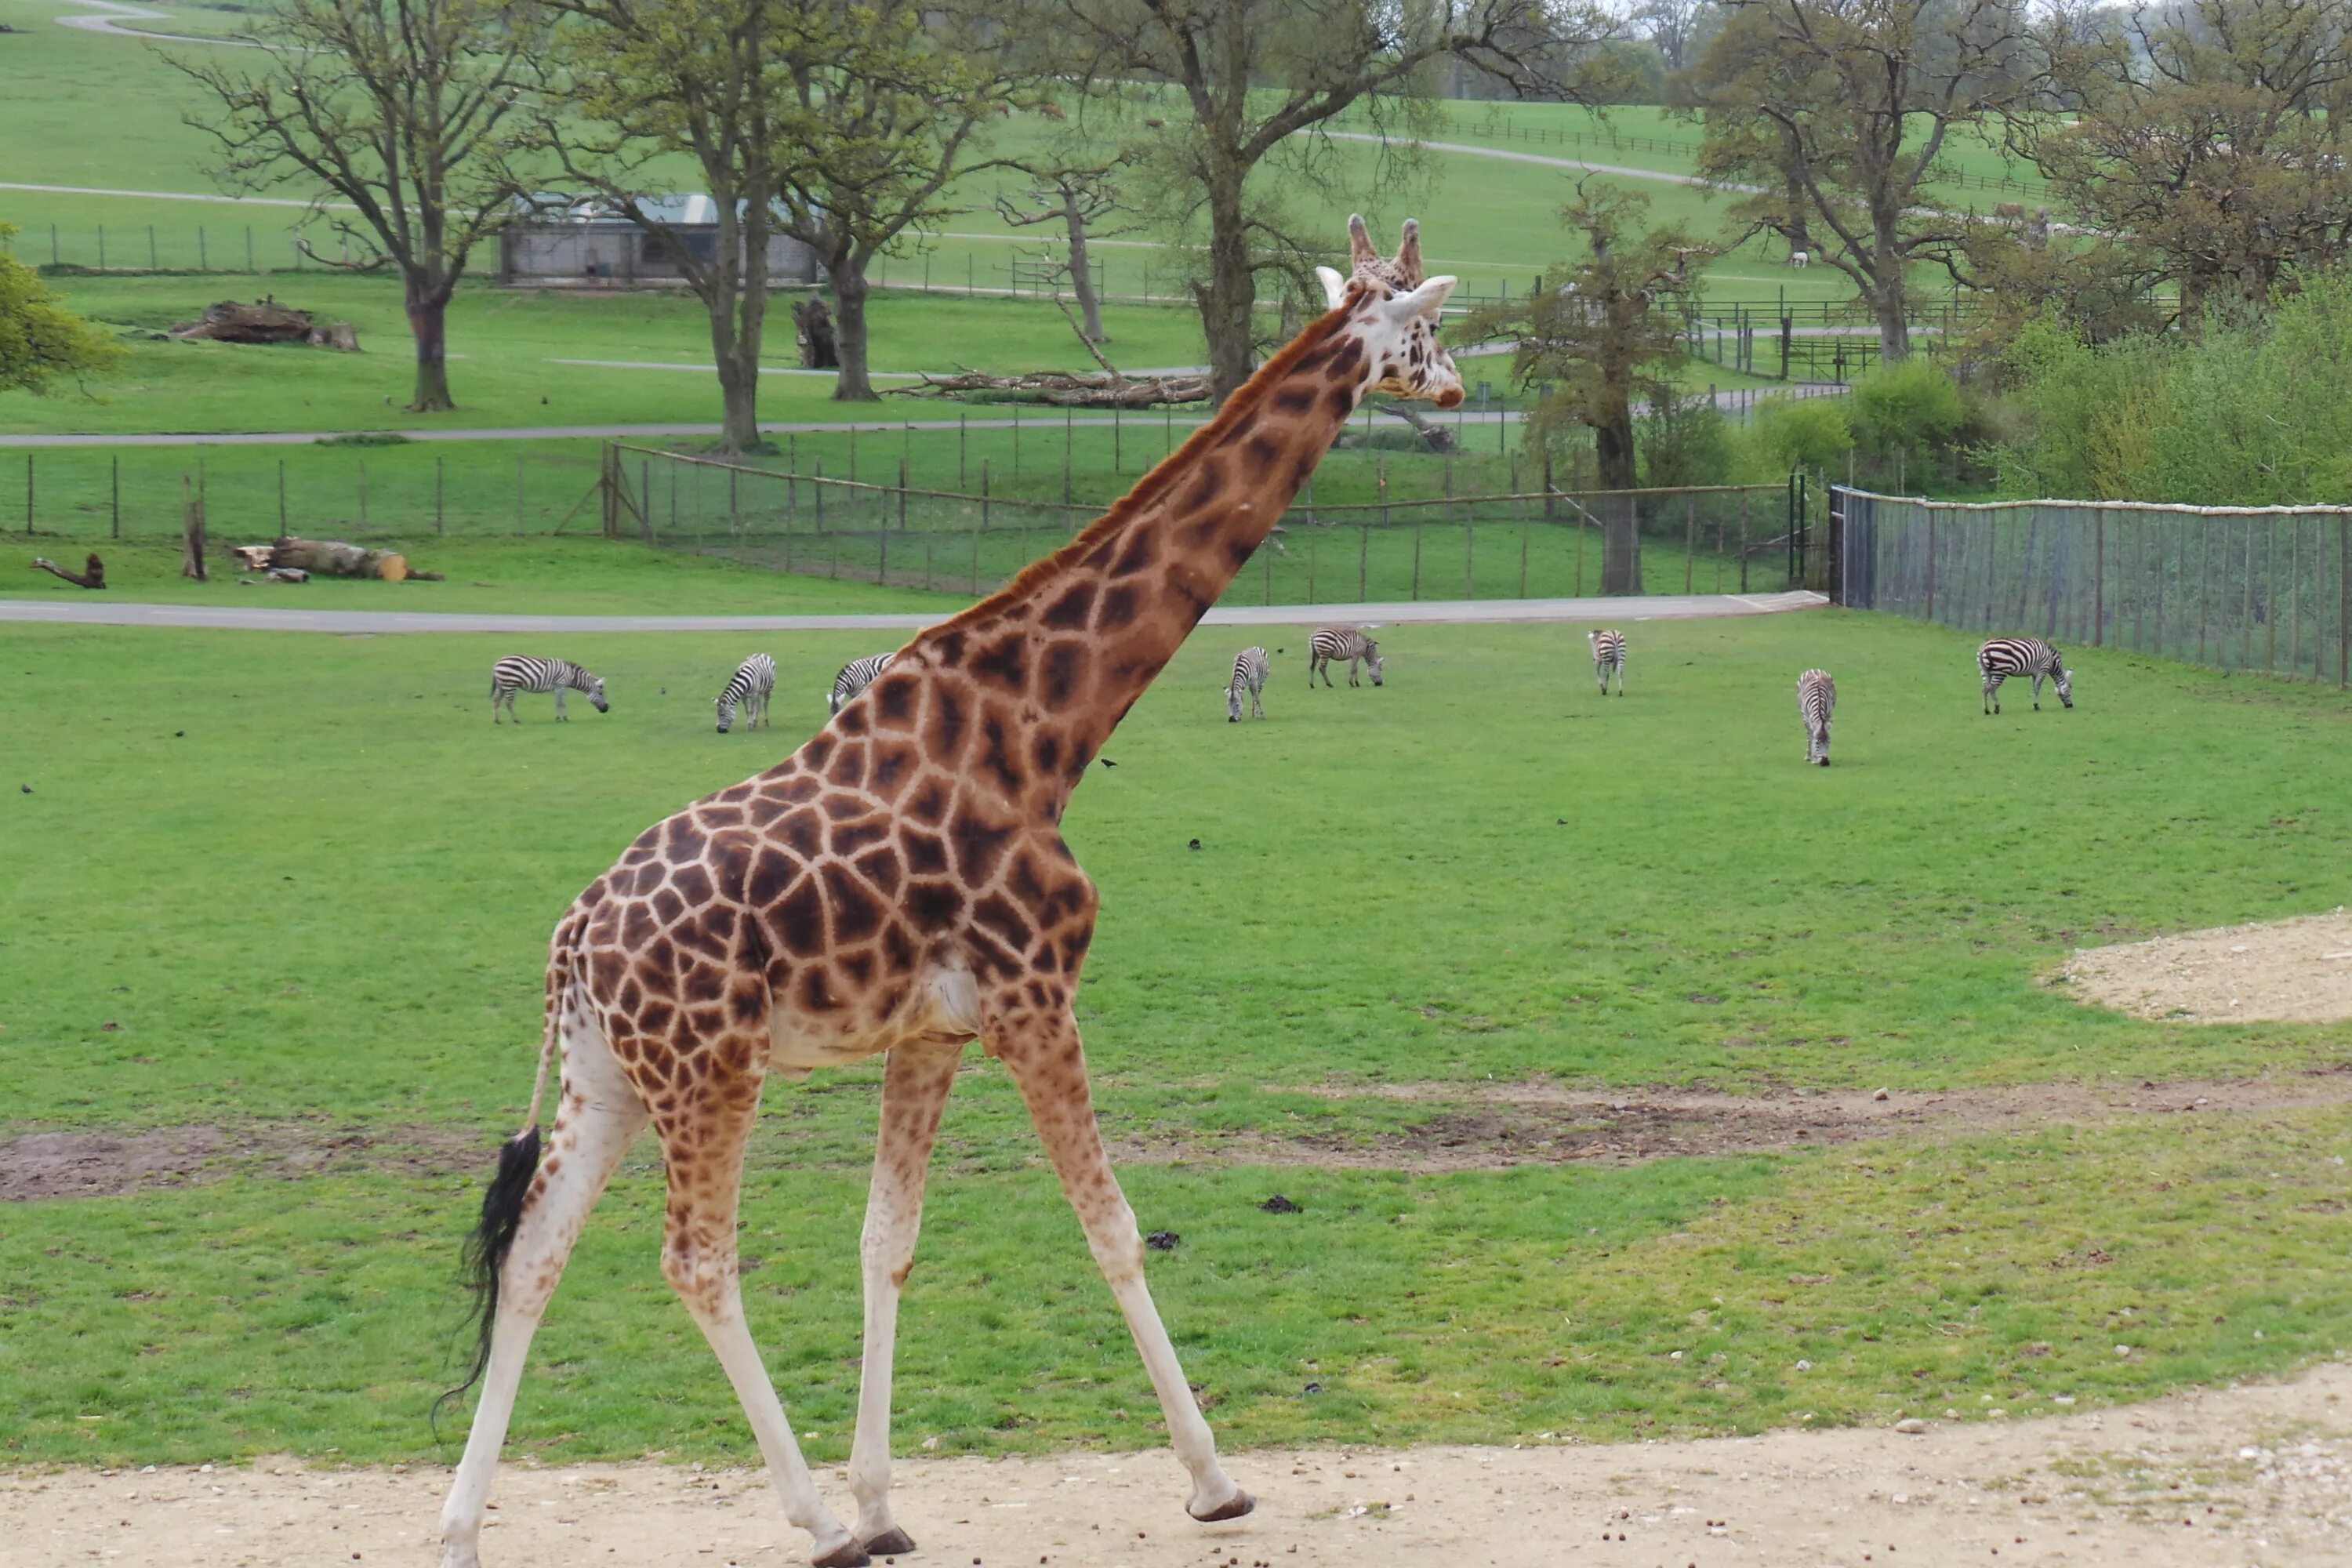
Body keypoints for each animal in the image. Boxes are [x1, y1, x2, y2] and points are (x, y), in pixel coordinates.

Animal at [487, 653, 607, 728]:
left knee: (495, 700)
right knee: (508, 703)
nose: (607, 708)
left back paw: (497, 721)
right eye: (601, 693)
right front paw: (560, 719)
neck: (571, 675)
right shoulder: (560, 684)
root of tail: (497, 662)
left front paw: (563, 718)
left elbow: (561, 703)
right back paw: (516, 720)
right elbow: (560, 703)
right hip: (510, 684)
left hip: (502, 685)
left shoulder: (559, 688)